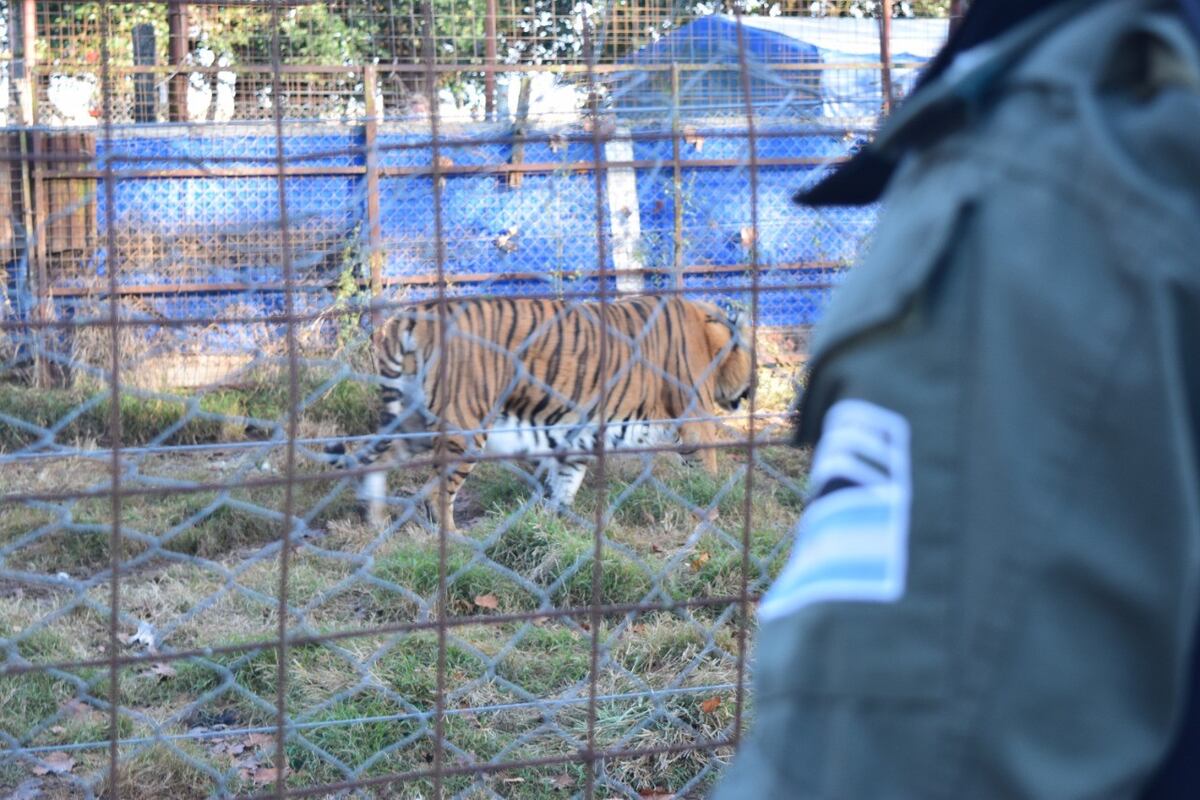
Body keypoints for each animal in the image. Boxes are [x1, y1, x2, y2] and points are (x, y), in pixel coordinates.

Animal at [323, 295, 754, 531]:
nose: (751, 393)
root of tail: (414, 314)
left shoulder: (578, 433)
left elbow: (565, 482)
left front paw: (553, 524)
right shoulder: (695, 420)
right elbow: (707, 470)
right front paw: (713, 505)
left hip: (411, 417)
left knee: (377, 460)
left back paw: (376, 523)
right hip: (466, 427)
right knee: (437, 495)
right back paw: (456, 541)